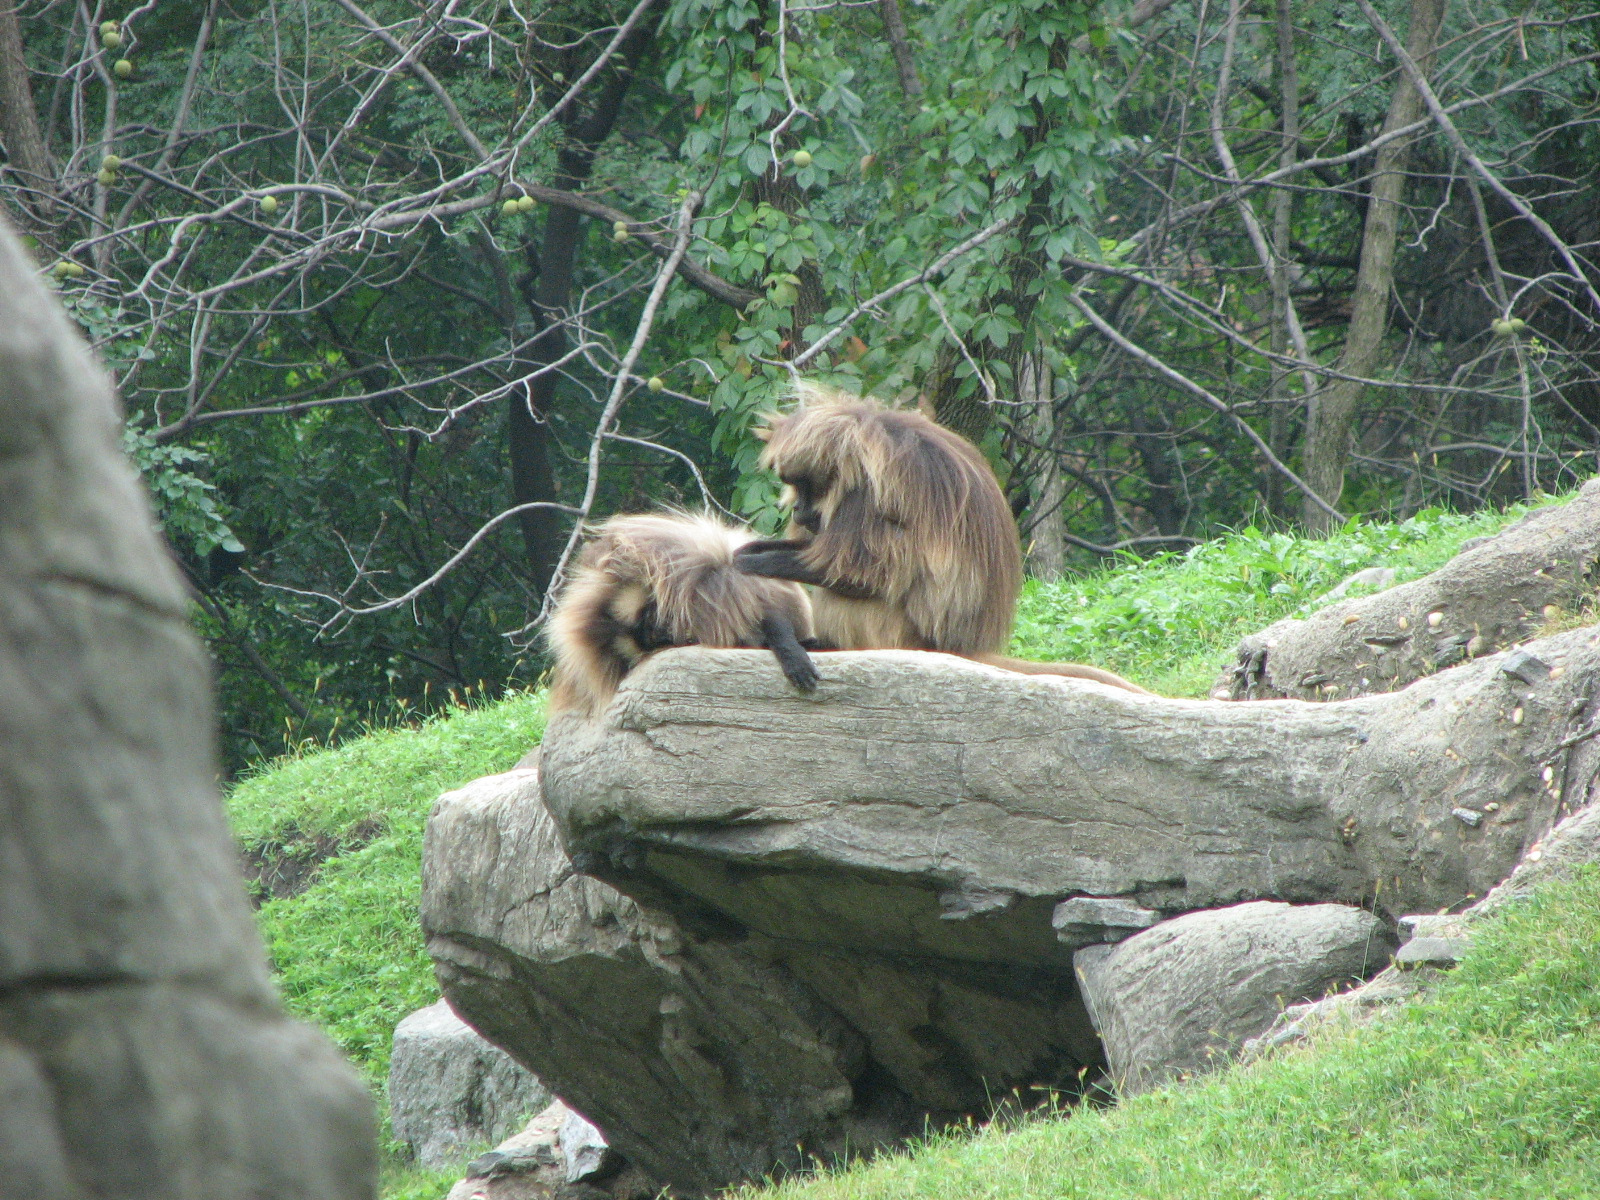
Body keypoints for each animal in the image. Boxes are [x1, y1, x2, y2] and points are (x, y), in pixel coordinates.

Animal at [547, 511, 821, 715]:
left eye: (649, 618)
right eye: (653, 641)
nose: (663, 631)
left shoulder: (706, 585)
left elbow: (763, 610)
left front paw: (790, 651)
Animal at [733, 382, 1150, 695]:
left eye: (809, 484)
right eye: (796, 486)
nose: (799, 512)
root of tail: (957, 646)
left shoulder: (867, 494)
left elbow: (862, 575)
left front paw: (754, 563)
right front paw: (751, 549)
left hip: (898, 633)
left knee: (847, 591)